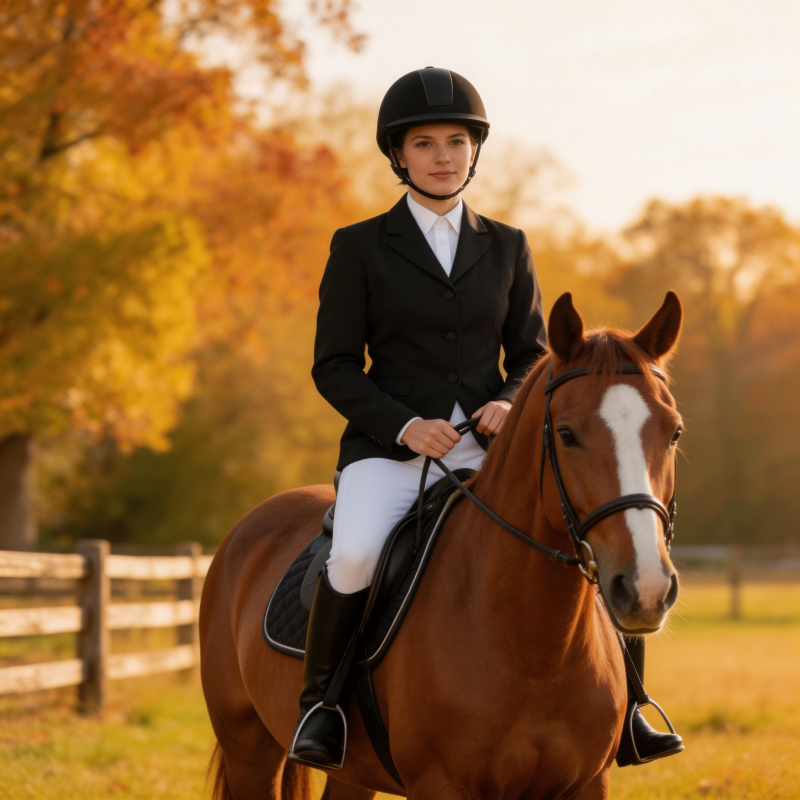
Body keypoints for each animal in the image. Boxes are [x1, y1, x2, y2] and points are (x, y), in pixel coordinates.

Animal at [199, 289, 684, 800]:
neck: (533, 648)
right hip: (247, 748)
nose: (646, 588)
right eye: (567, 434)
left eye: (674, 432)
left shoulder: (588, 783)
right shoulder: (440, 783)